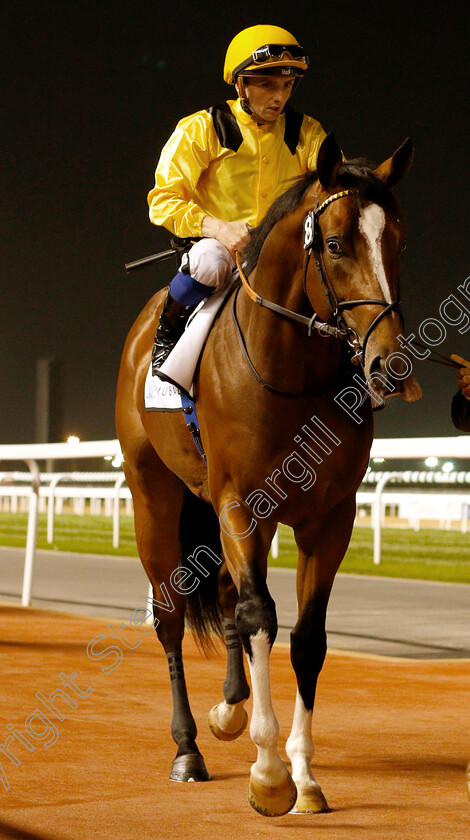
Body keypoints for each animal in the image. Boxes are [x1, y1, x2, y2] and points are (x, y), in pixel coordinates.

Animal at [115, 135, 420, 816]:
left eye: (398, 241)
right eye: (334, 243)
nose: (389, 364)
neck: (290, 373)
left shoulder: (329, 515)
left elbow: (307, 636)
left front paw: (303, 776)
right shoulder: (236, 503)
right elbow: (261, 614)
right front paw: (269, 773)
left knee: (228, 594)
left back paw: (230, 708)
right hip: (154, 494)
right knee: (172, 615)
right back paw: (188, 749)